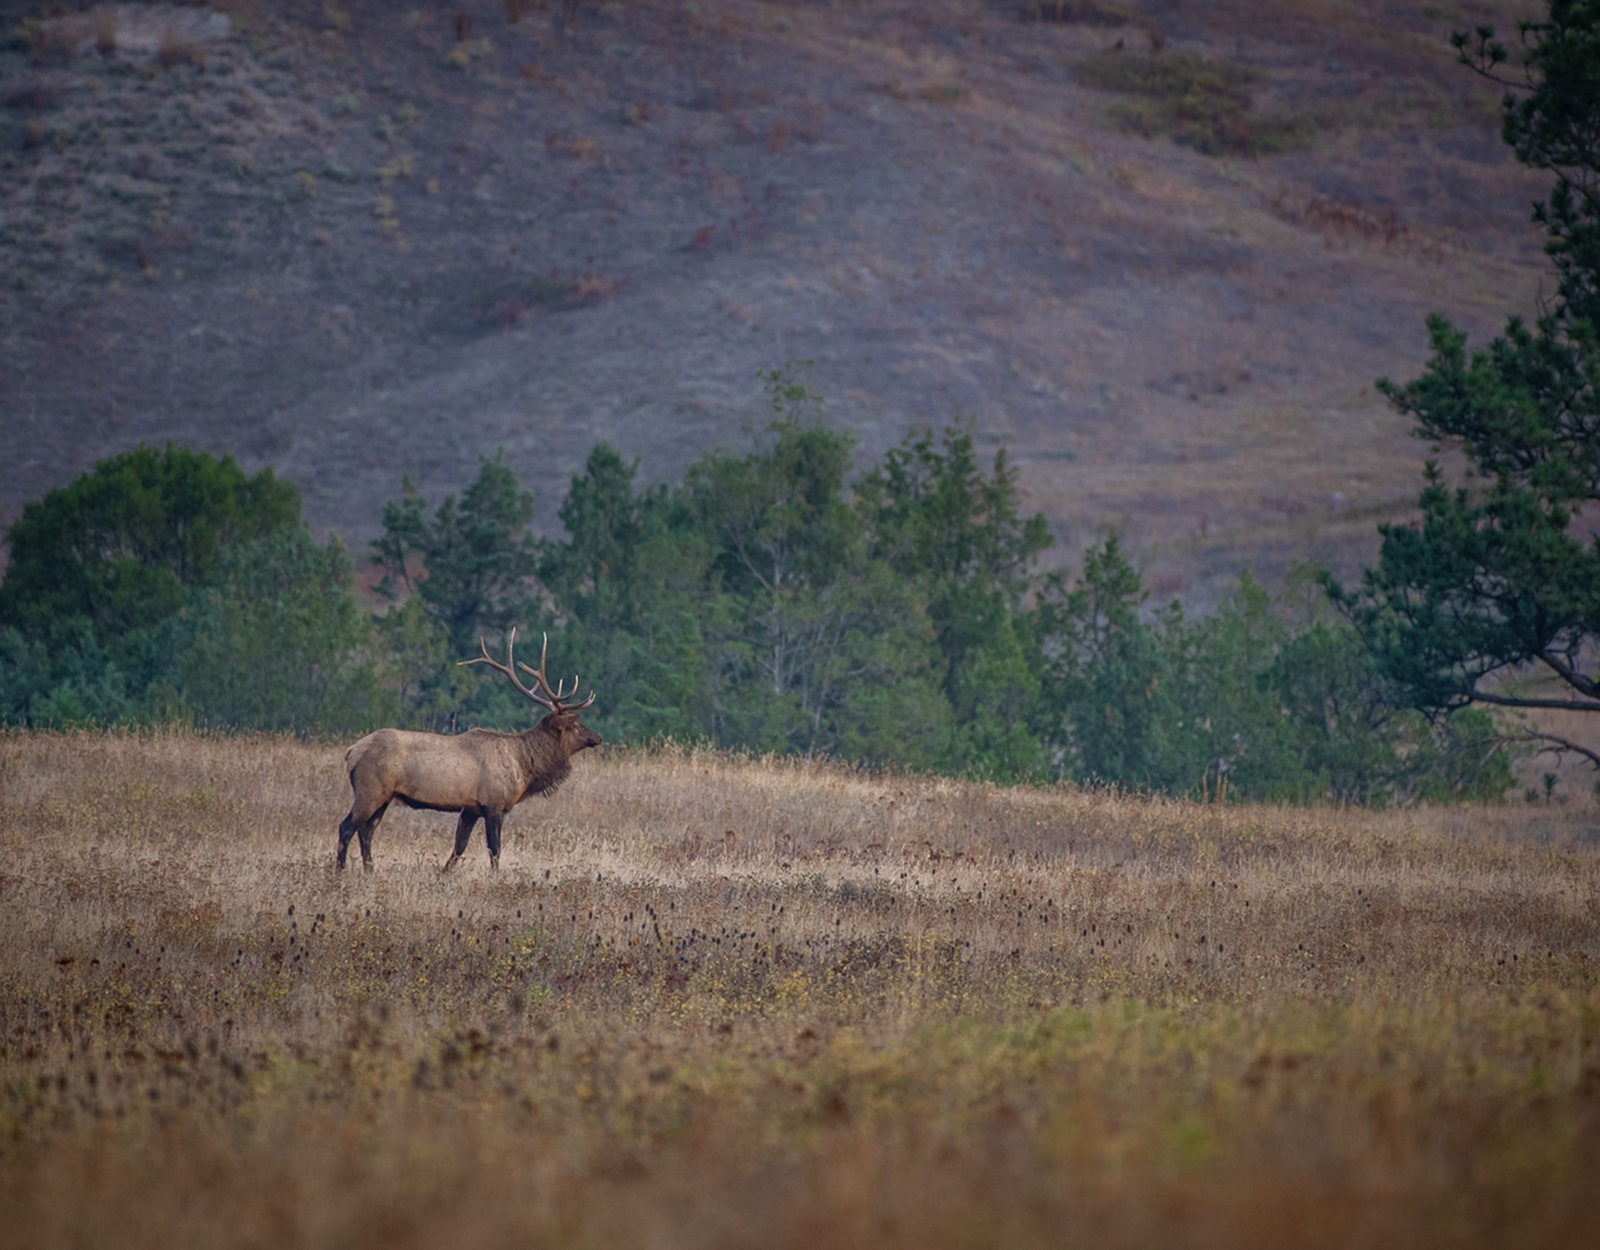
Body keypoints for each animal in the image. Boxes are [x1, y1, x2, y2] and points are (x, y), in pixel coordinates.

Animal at [336, 629, 601, 872]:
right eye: (575, 725)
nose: (597, 737)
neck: (524, 766)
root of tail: (351, 752)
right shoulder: (494, 804)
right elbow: (495, 849)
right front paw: (494, 878)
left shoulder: (471, 808)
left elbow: (459, 847)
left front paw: (443, 875)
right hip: (370, 790)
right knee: (347, 827)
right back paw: (340, 872)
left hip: (385, 796)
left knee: (366, 831)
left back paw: (370, 871)